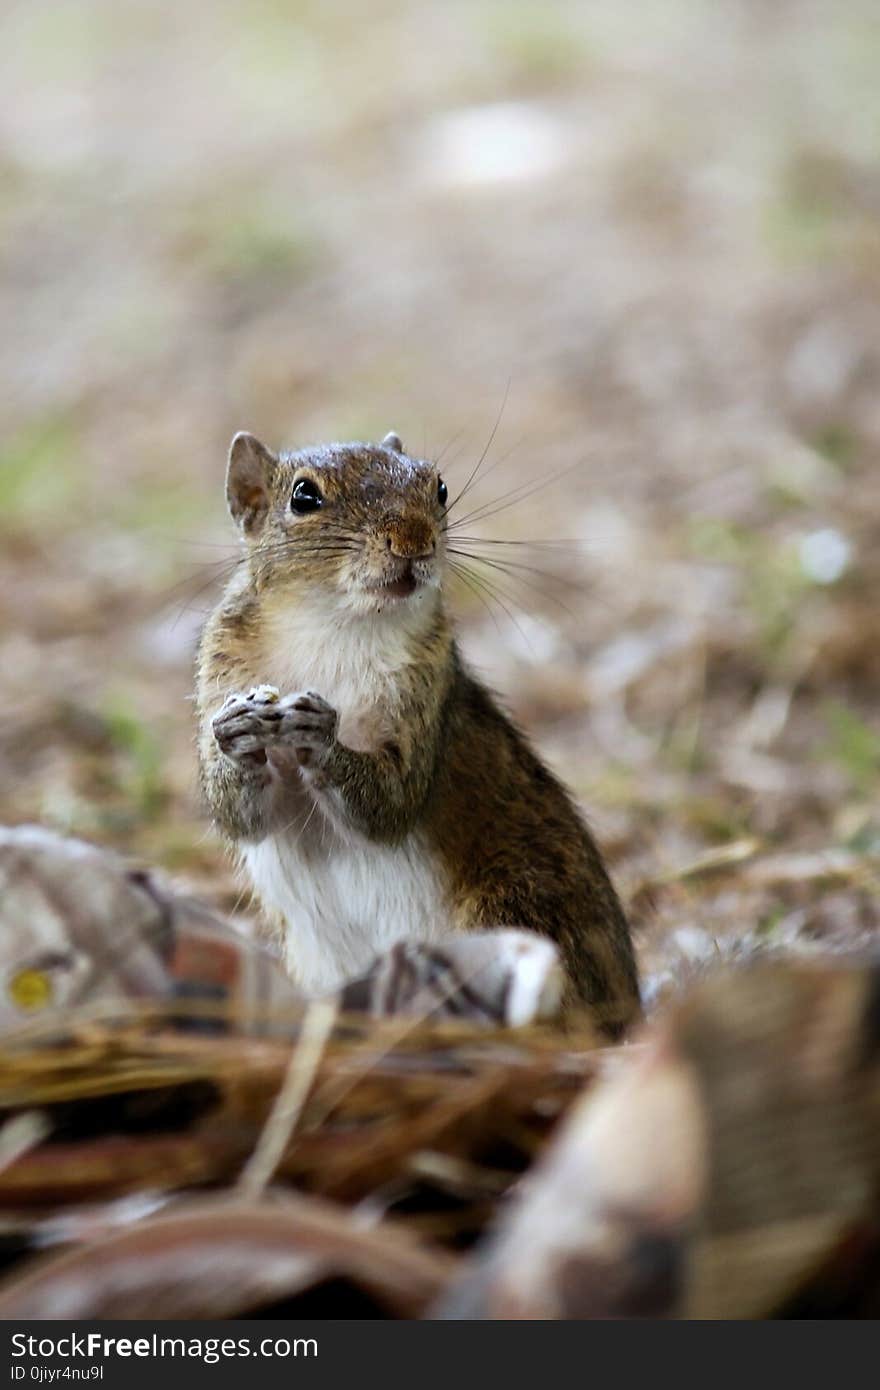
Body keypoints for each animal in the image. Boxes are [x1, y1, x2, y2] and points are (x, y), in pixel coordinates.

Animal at [197, 430, 639, 1034]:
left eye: (440, 487)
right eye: (304, 497)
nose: (413, 540)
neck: (336, 626)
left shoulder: (429, 693)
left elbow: (391, 802)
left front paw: (322, 737)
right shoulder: (221, 672)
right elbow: (238, 816)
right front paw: (237, 734)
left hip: (516, 905)